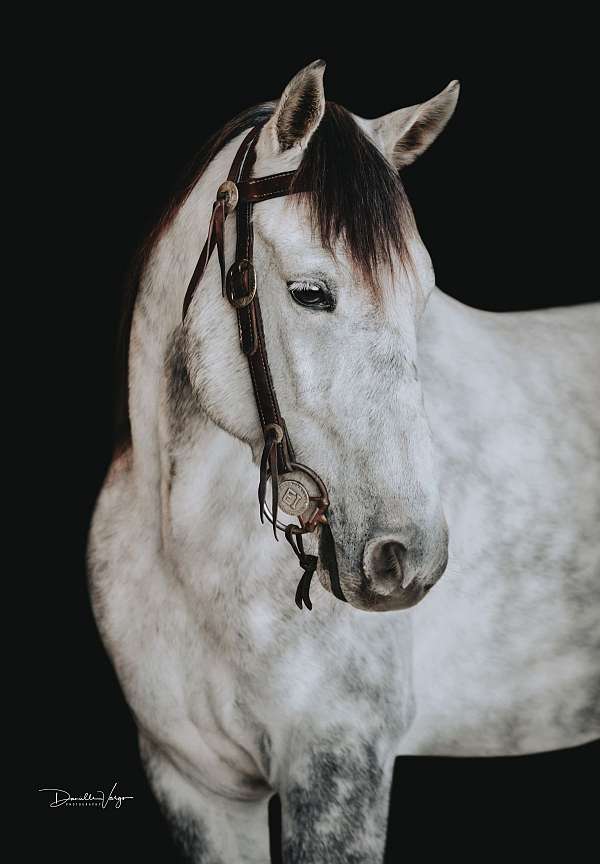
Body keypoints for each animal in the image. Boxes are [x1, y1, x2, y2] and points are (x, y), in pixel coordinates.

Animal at [89, 62, 600, 864]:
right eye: (309, 293)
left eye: (422, 296)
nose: (405, 558)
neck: (187, 555)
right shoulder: (194, 785)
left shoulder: (337, 770)